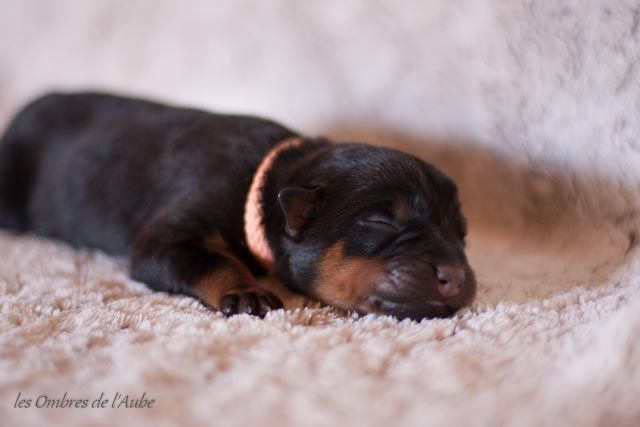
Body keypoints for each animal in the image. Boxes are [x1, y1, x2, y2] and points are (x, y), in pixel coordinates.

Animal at [0, 92, 476, 320]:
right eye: (379, 221)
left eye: (462, 234)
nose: (456, 277)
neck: (263, 181)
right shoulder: (175, 229)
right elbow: (206, 258)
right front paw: (247, 291)